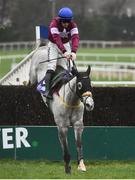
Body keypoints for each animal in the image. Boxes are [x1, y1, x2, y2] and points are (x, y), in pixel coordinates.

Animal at [28, 45, 94, 174]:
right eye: (79, 85)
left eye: (91, 84)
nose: (90, 104)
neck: (71, 101)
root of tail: (44, 47)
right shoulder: (61, 126)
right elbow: (65, 148)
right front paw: (68, 169)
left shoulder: (78, 124)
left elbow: (79, 144)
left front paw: (81, 165)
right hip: (33, 74)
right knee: (32, 79)